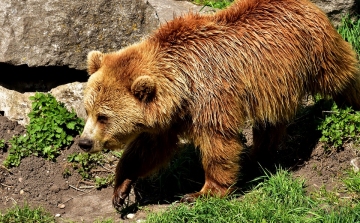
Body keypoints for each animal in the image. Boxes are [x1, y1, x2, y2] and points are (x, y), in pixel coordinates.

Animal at [79, 0, 360, 208]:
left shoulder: (210, 97)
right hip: (272, 86)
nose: (84, 143)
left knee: (342, 75)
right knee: (270, 121)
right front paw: (121, 189)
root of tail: (307, 4)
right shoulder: (171, 117)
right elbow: (149, 149)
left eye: (103, 116)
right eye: (88, 110)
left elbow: (217, 143)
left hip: (316, 49)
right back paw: (257, 156)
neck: (182, 83)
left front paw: (201, 192)